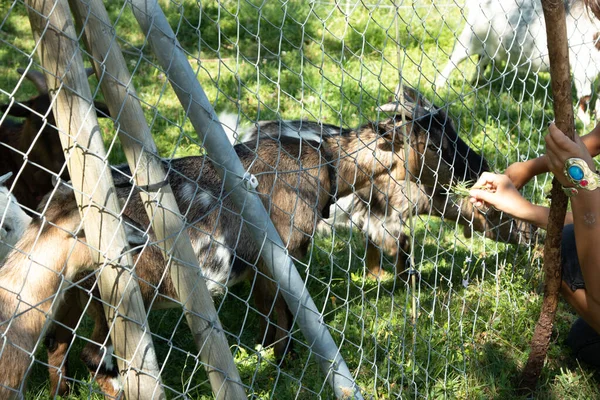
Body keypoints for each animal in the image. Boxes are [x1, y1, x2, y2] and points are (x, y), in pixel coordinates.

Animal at [436, 0, 600, 125]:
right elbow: (586, 94)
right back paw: (439, 85)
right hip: (472, 37)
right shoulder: (583, 63)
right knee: (455, 58)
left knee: (482, 61)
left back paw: (477, 82)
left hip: (492, 45)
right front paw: (585, 120)